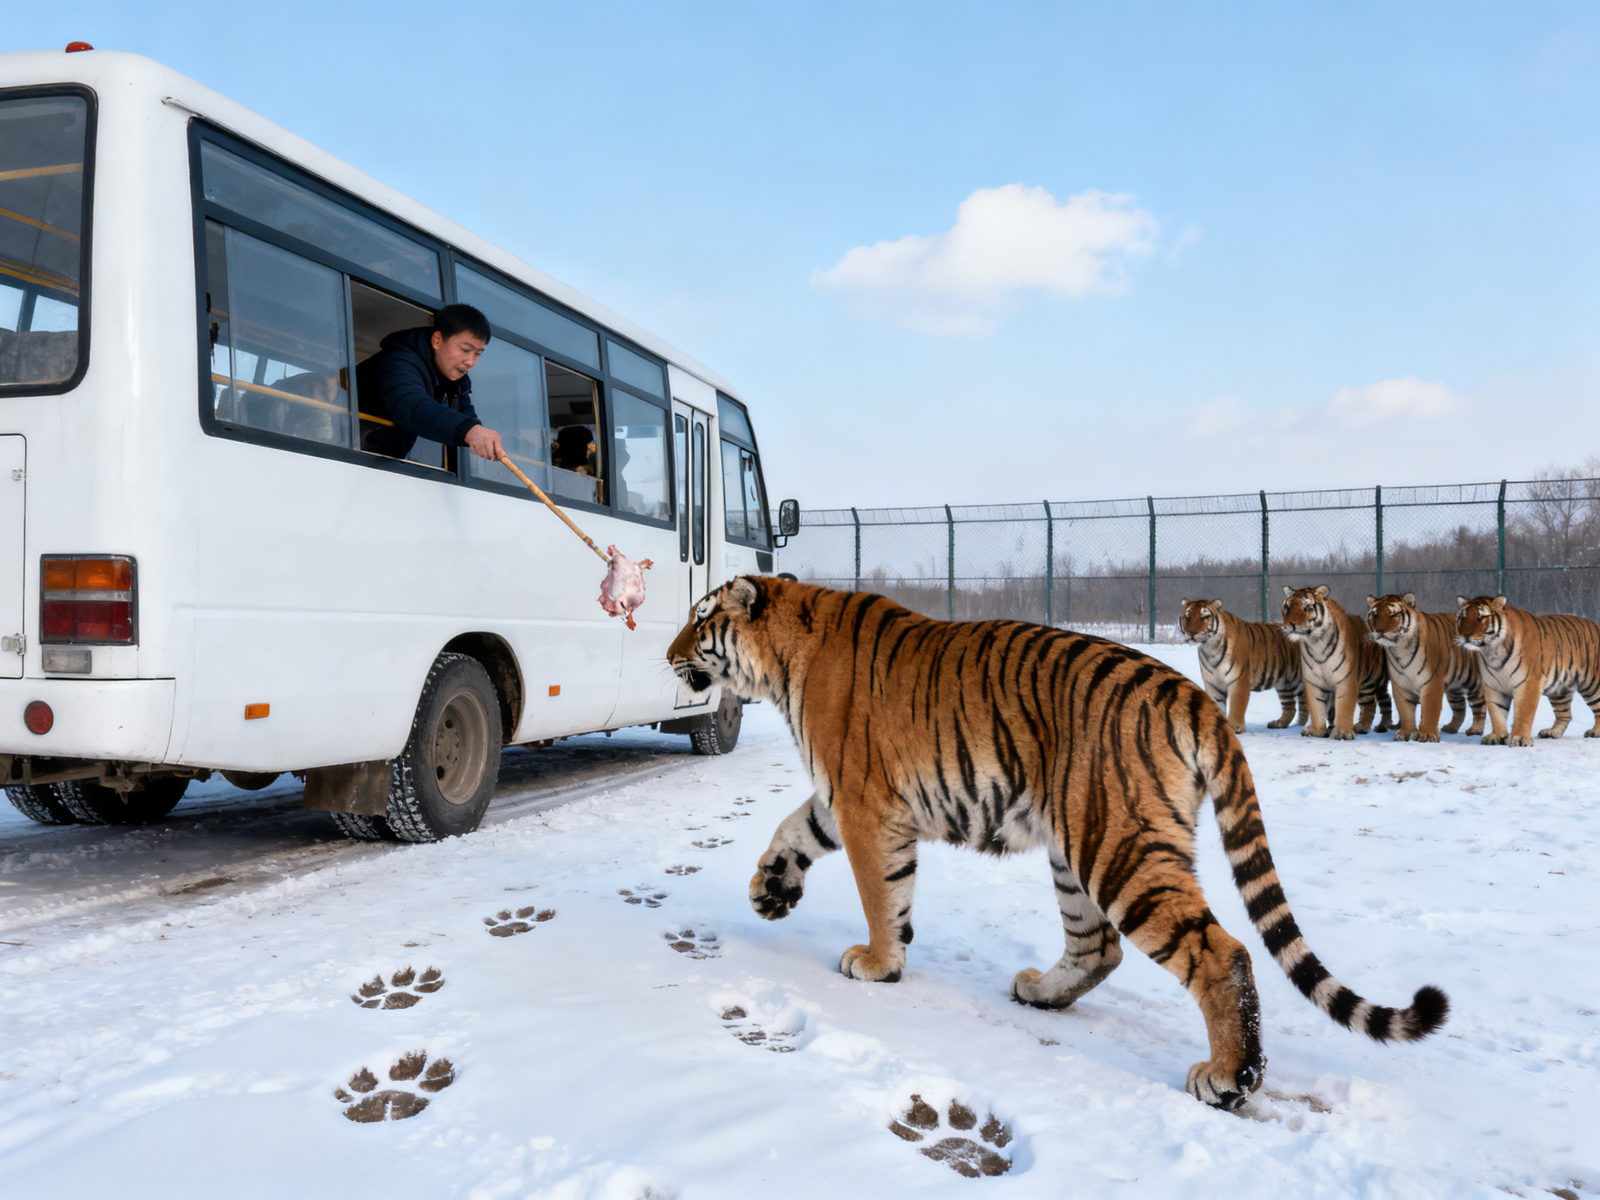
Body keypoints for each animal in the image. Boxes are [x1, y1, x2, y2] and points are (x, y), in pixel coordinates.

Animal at [1180, 598, 1306, 732]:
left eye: (1205, 617)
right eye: (1187, 617)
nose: (1191, 633)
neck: (1210, 648)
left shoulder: (1239, 680)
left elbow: (1237, 706)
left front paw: (1235, 728)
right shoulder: (1213, 685)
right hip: (1285, 684)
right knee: (1291, 708)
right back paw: (1281, 724)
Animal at [1279, 585, 1393, 739]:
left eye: (1307, 607)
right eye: (1287, 607)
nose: (1290, 625)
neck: (1316, 643)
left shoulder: (1346, 679)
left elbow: (1344, 706)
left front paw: (1342, 733)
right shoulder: (1313, 681)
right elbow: (1316, 707)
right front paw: (1316, 731)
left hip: (1366, 682)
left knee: (1369, 704)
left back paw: (1362, 726)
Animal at [1366, 593, 1485, 741]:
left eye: (1394, 615)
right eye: (1375, 614)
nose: (1380, 631)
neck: (1399, 648)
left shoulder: (1432, 682)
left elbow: (1429, 710)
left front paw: (1428, 735)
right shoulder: (1400, 684)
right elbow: (1405, 711)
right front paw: (1406, 733)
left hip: (1474, 683)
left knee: (1480, 705)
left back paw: (1476, 730)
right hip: (1454, 687)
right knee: (1460, 708)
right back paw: (1451, 728)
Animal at [1454, 595, 1600, 746]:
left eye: (1482, 617)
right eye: (1462, 617)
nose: (1465, 635)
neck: (1492, 651)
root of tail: (1596, 625)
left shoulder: (1527, 684)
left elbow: (1523, 713)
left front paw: (1518, 739)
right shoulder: (1493, 686)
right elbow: (1496, 712)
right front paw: (1496, 736)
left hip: (1591, 684)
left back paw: (1594, 732)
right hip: (1559, 690)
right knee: (1565, 714)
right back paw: (1552, 732)